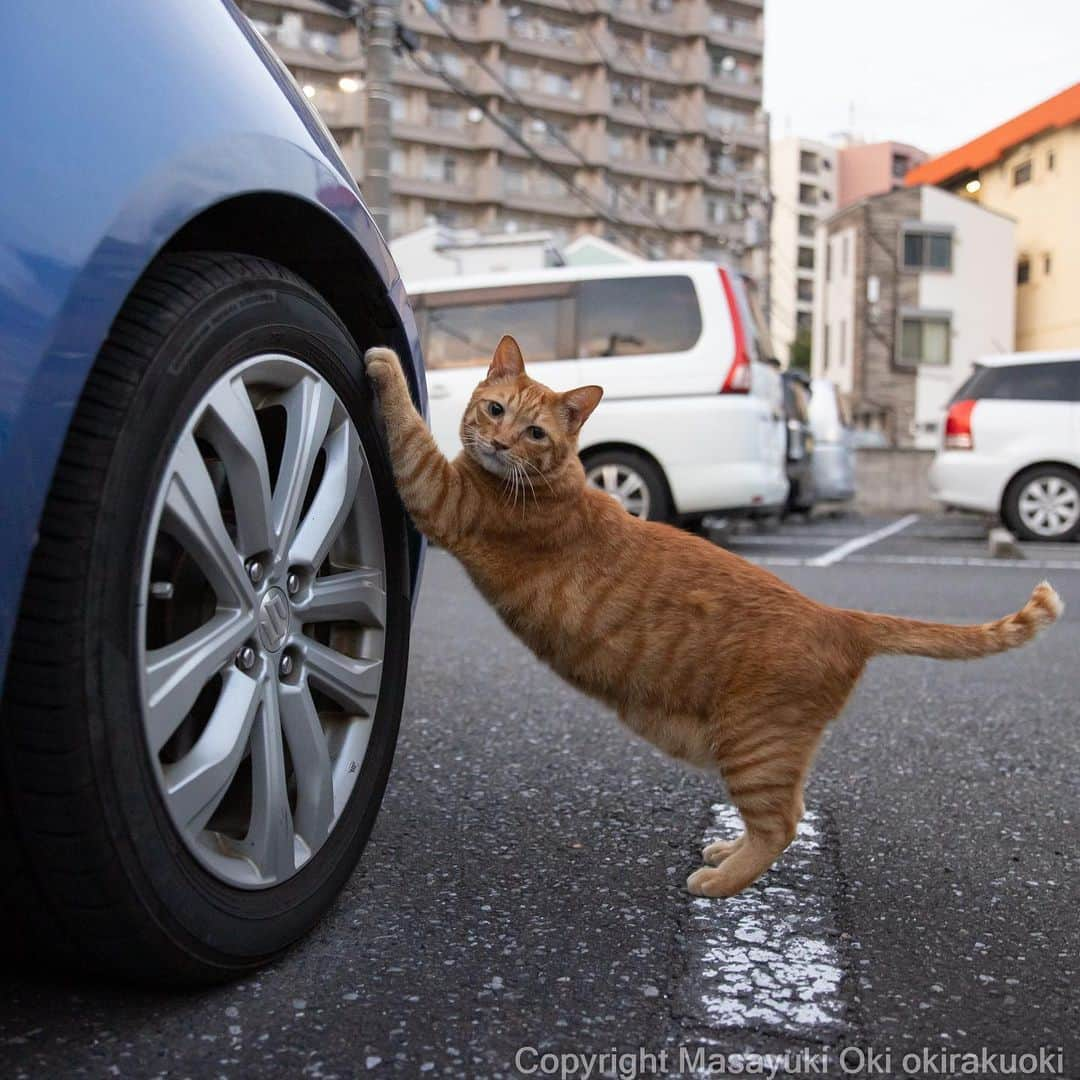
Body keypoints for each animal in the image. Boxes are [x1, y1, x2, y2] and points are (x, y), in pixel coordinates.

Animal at [362, 341, 1062, 898]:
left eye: (535, 433)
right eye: (496, 410)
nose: (499, 442)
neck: (554, 479)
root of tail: (839, 615)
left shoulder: (439, 495)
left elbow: (410, 429)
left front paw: (386, 363)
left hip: (753, 745)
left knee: (783, 824)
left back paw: (721, 882)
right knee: (785, 813)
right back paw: (728, 853)